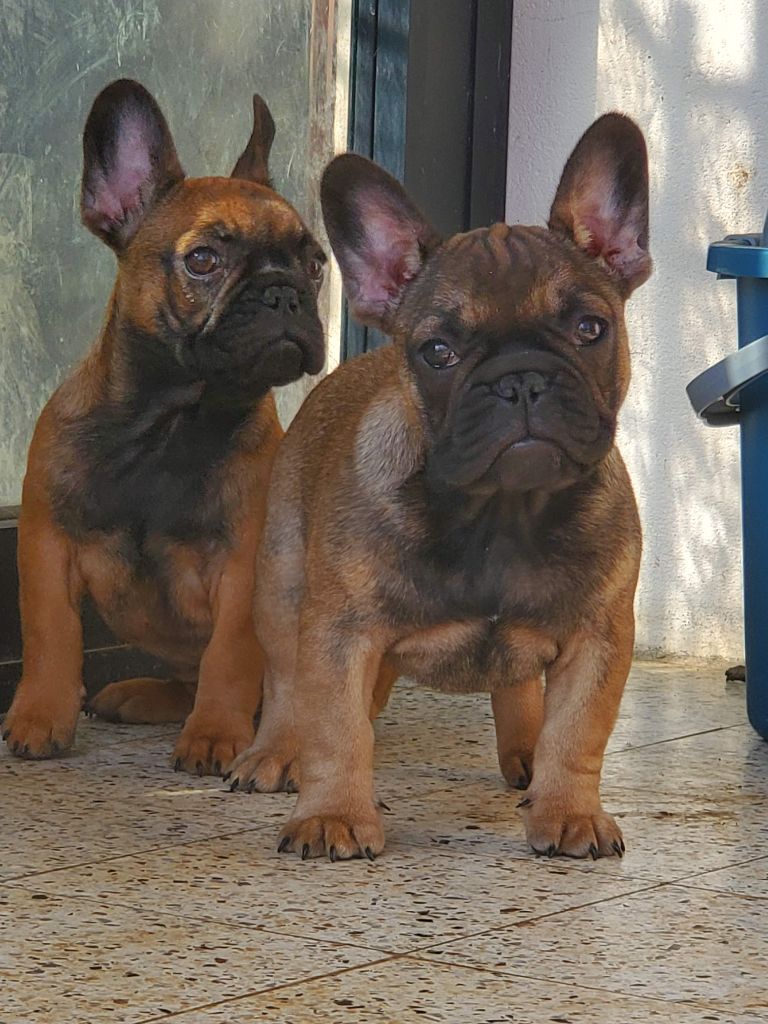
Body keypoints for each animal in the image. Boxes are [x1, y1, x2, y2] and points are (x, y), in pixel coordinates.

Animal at [2, 79, 326, 774]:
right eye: (202, 259)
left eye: (314, 263)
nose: (284, 291)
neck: (174, 421)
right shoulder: (46, 545)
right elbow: (50, 635)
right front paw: (41, 716)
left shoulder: (243, 571)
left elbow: (230, 657)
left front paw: (214, 734)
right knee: (183, 680)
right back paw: (138, 695)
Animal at [226, 113, 651, 860]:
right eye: (438, 352)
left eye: (589, 328)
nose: (520, 378)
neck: (501, 511)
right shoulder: (338, 636)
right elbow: (335, 728)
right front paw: (334, 814)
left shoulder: (598, 639)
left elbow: (576, 734)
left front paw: (567, 810)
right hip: (280, 588)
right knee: (284, 684)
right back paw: (275, 754)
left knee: (518, 688)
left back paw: (526, 757)